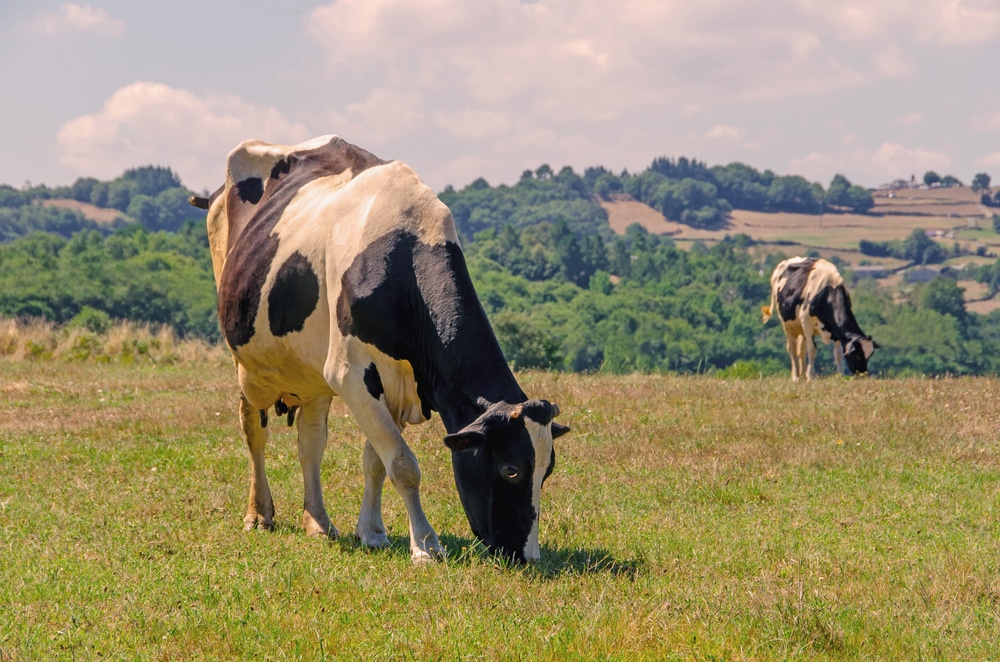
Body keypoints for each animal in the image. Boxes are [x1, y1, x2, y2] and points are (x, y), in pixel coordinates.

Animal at [190, 136, 568, 564]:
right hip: (249, 366)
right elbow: (403, 464)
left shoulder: (398, 384)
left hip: (311, 374)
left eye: (547, 470)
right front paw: (425, 544)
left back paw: (318, 522)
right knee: (254, 430)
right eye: (511, 470)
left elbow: (376, 461)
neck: (402, 250)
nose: (528, 554)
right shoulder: (350, 374)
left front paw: (371, 531)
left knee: (310, 443)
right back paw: (259, 514)